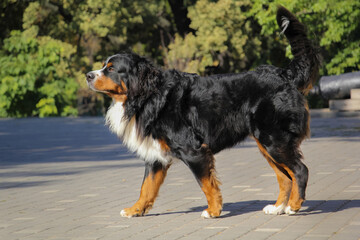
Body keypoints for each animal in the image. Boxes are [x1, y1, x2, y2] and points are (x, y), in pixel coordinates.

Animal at [86, 6, 320, 218]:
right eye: (103, 66)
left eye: (112, 69)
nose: (88, 75)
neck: (148, 96)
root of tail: (284, 74)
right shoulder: (155, 156)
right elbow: (146, 187)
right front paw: (135, 210)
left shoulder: (194, 150)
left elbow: (206, 184)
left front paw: (214, 211)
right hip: (267, 144)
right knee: (285, 177)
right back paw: (278, 207)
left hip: (274, 141)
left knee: (300, 170)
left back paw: (293, 206)